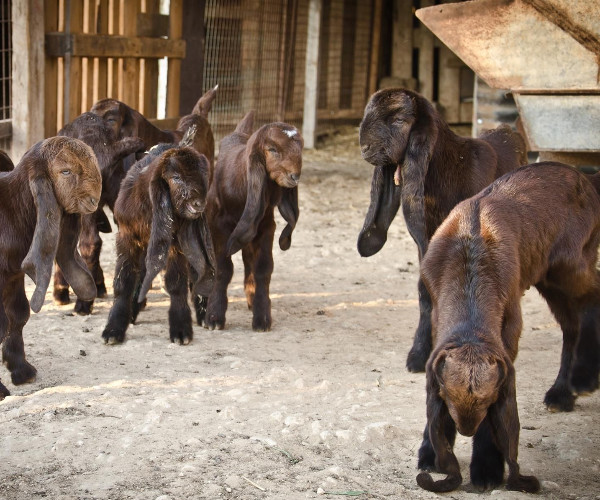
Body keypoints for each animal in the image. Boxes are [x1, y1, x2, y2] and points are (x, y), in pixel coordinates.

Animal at [102, 127, 214, 346]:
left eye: (203, 176)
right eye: (176, 177)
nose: (198, 204)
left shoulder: (174, 243)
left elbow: (176, 283)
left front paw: (181, 329)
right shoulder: (127, 237)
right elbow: (123, 281)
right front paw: (113, 329)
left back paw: (205, 315)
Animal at [205, 111, 302, 334]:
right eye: (272, 149)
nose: (295, 176)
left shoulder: (266, 227)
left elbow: (263, 268)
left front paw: (262, 317)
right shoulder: (218, 228)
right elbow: (223, 269)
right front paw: (213, 317)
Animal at [354, 88, 528, 374]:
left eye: (399, 120)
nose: (365, 148)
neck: (453, 167)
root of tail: (507, 130)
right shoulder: (428, 241)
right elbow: (426, 291)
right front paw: (419, 354)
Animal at [414, 163, 600, 492]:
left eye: (490, 402)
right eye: (446, 398)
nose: (466, 429)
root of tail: (587, 179)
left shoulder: (509, 324)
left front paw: (487, 469)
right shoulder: (437, 318)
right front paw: (429, 454)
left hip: (571, 263)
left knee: (593, 295)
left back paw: (585, 378)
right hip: (549, 276)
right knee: (571, 323)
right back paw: (561, 394)